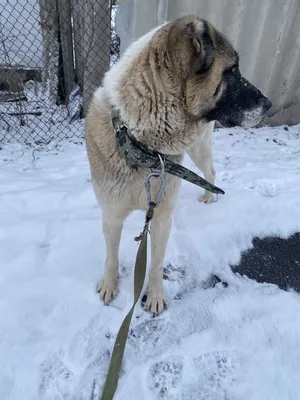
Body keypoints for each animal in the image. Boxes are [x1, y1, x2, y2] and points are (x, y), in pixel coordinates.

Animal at [85, 14, 272, 316]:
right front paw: (110, 285)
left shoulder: (161, 218)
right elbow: (111, 256)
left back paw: (208, 196)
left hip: (199, 149)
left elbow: (156, 264)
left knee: (210, 171)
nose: (269, 104)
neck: (142, 145)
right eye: (231, 71)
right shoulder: (112, 216)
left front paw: (155, 296)